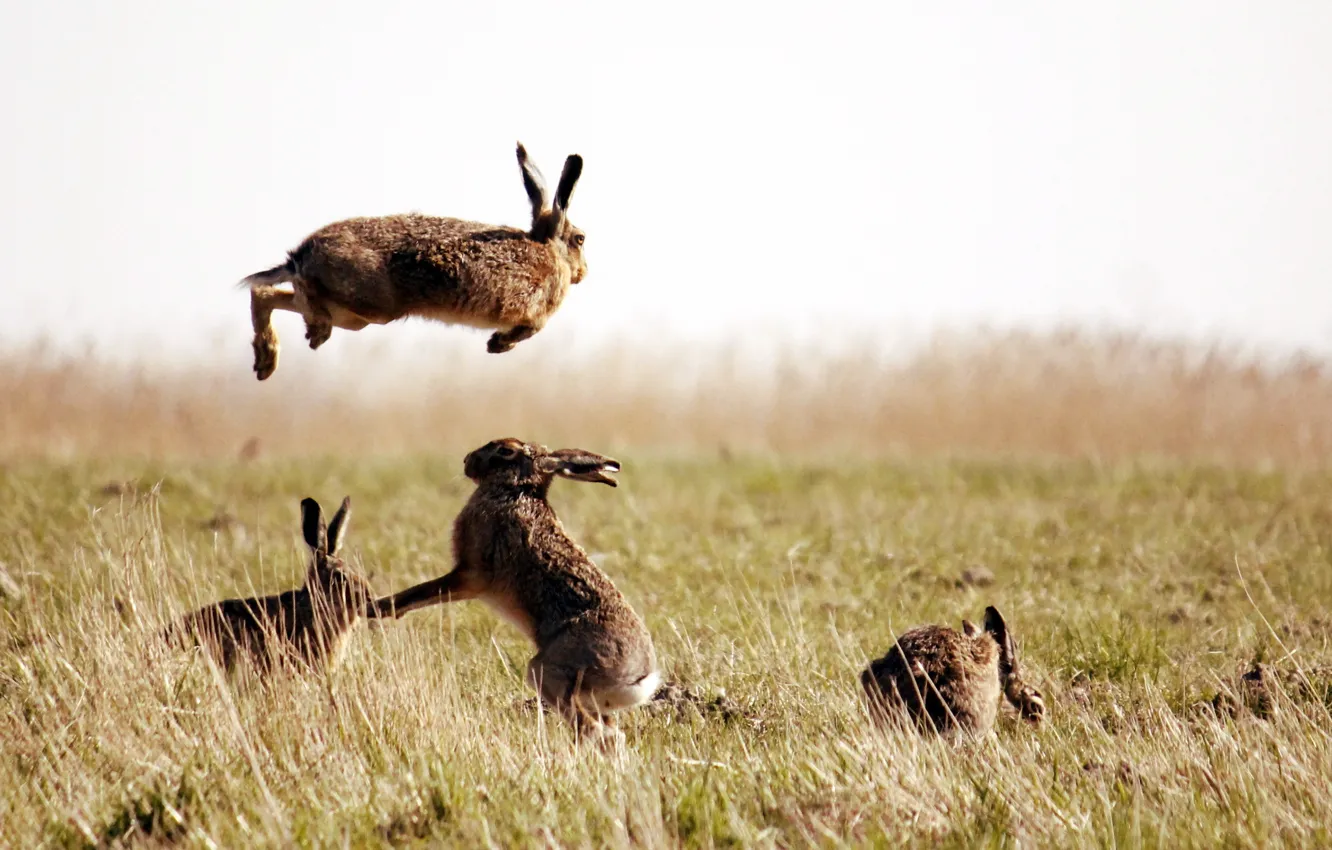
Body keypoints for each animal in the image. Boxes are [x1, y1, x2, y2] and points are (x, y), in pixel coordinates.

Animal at [242, 142, 586, 380]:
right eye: (581, 239)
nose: (583, 272)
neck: (550, 249)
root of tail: (301, 255)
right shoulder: (534, 311)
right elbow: (530, 329)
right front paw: (498, 344)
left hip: (352, 315)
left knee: (267, 294)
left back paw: (267, 360)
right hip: (370, 305)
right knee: (291, 298)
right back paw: (313, 335)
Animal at [372, 438, 659, 746]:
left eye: (506, 450)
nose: (467, 460)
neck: (515, 491)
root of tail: (640, 677)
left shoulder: (471, 574)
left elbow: (423, 592)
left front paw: (375, 608)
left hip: (549, 675)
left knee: (593, 731)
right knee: (610, 733)